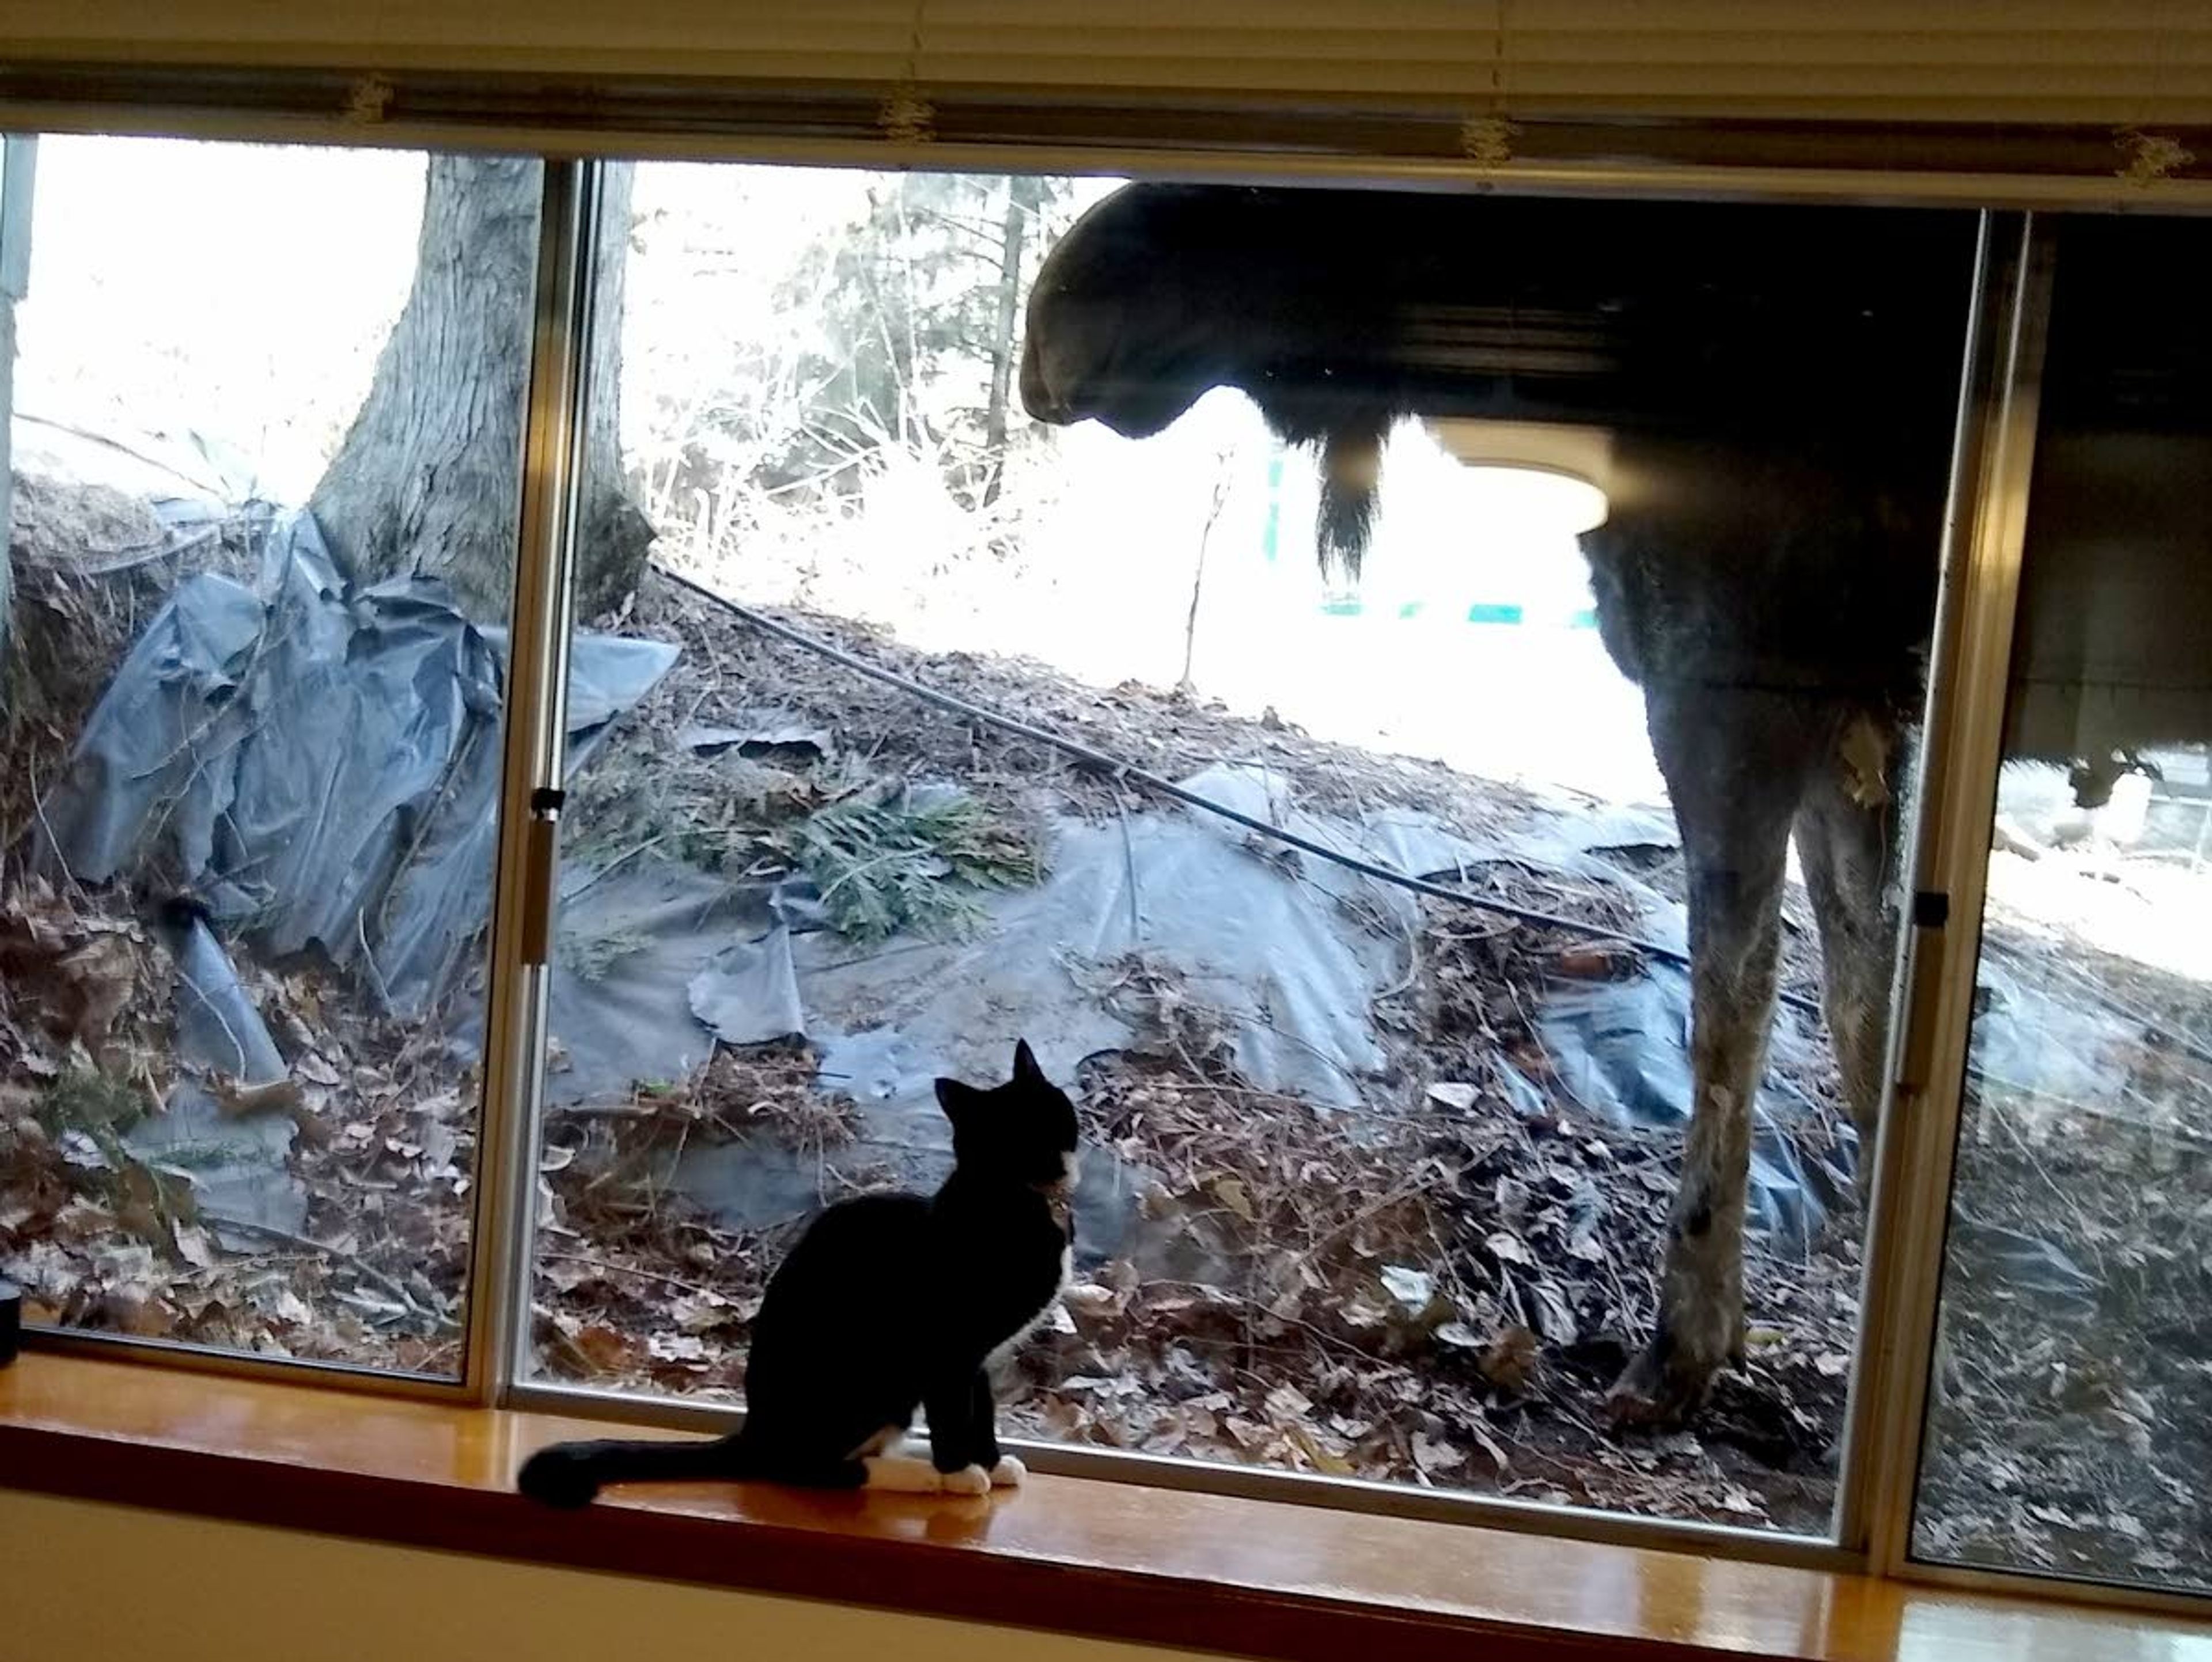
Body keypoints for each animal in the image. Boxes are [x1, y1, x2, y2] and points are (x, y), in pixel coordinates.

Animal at [513, 1043, 1075, 1512]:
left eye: (1047, 1114)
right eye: (1010, 1133)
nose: (1050, 1157)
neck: (1015, 1198)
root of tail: (753, 1428)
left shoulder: (980, 1359)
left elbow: (983, 1412)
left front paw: (993, 1463)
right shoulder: (950, 1351)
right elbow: (956, 1415)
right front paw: (961, 1473)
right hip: (870, 1372)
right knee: (802, 1466)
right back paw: (918, 1476)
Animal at [1022, 184, 2212, 1432]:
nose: (1055, 320)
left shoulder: (1737, 672)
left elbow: (1733, 1001)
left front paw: (1686, 1346)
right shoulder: (1859, 709)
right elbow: (1864, 1005)